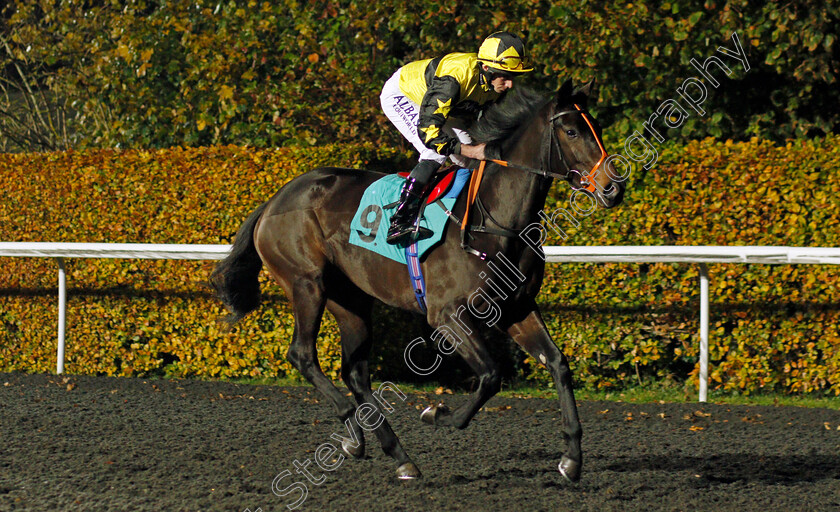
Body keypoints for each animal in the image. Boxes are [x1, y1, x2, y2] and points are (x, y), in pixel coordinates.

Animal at [212, 79, 624, 484]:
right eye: (571, 131)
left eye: (598, 128)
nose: (613, 188)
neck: (492, 219)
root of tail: (274, 201)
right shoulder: (447, 316)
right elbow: (491, 376)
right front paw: (438, 415)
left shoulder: (516, 308)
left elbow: (557, 363)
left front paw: (572, 458)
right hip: (306, 284)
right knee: (302, 355)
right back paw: (357, 433)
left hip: (351, 300)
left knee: (355, 372)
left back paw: (393, 454)